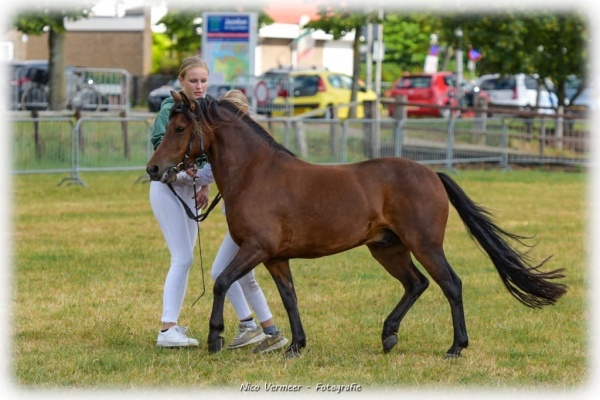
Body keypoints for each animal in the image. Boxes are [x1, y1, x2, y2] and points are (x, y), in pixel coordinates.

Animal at [146, 91, 568, 360]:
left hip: (424, 245)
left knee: (450, 284)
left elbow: (220, 282)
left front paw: (215, 338)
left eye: (180, 129)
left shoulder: (256, 249)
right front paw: (296, 346)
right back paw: (389, 335)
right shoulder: (275, 258)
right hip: (387, 247)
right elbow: (289, 297)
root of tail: (431, 173)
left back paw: (455, 347)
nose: (153, 168)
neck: (255, 173)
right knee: (416, 284)